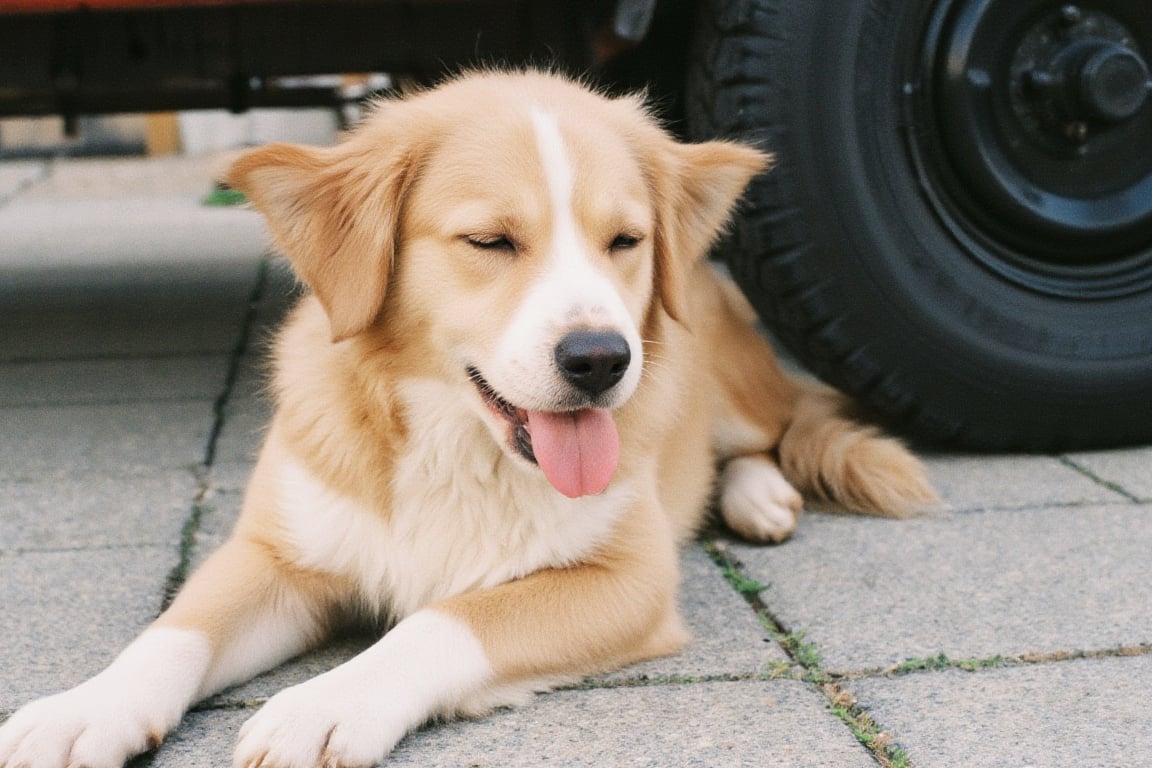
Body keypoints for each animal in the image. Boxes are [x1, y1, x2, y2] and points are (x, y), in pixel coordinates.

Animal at [0, 71, 935, 768]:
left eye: (624, 241)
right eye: (490, 241)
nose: (602, 361)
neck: (454, 445)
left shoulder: (628, 581)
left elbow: (447, 618)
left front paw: (327, 703)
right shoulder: (276, 554)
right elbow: (172, 632)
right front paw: (84, 710)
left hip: (736, 393)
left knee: (774, 433)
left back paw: (759, 497)